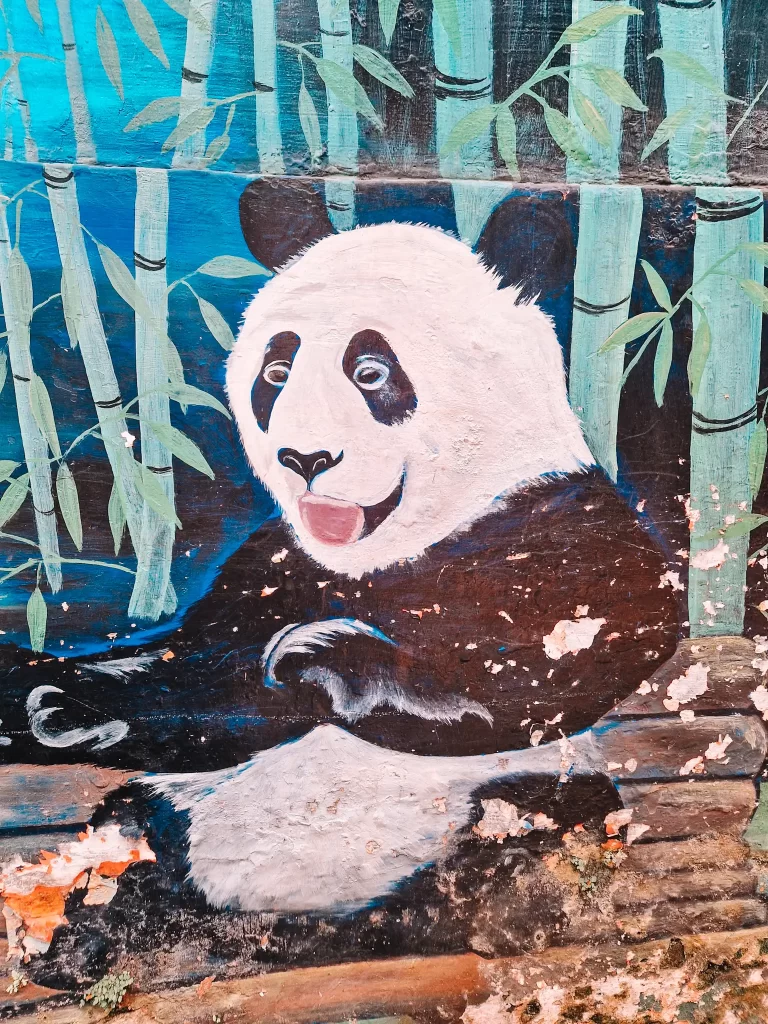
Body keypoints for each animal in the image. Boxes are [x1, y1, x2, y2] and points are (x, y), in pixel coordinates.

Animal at [0, 178, 675, 921]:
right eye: (277, 369)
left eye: (371, 372)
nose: (306, 458)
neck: (396, 549)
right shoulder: (273, 568)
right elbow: (201, 680)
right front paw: (51, 700)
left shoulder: (557, 522)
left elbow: (568, 664)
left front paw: (319, 659)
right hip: (164, 824)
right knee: (133, 844)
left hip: (487, 821)